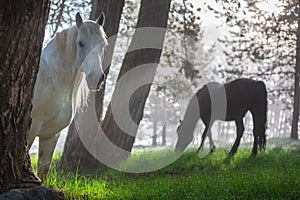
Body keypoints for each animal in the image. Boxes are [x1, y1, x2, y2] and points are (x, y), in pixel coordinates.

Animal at [28, 12, 108, 176]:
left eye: (102, 45)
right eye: (81, 43)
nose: (97, 78)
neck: (53, 76)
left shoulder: (51, 135)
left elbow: (43, 170)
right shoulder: (31, 129)